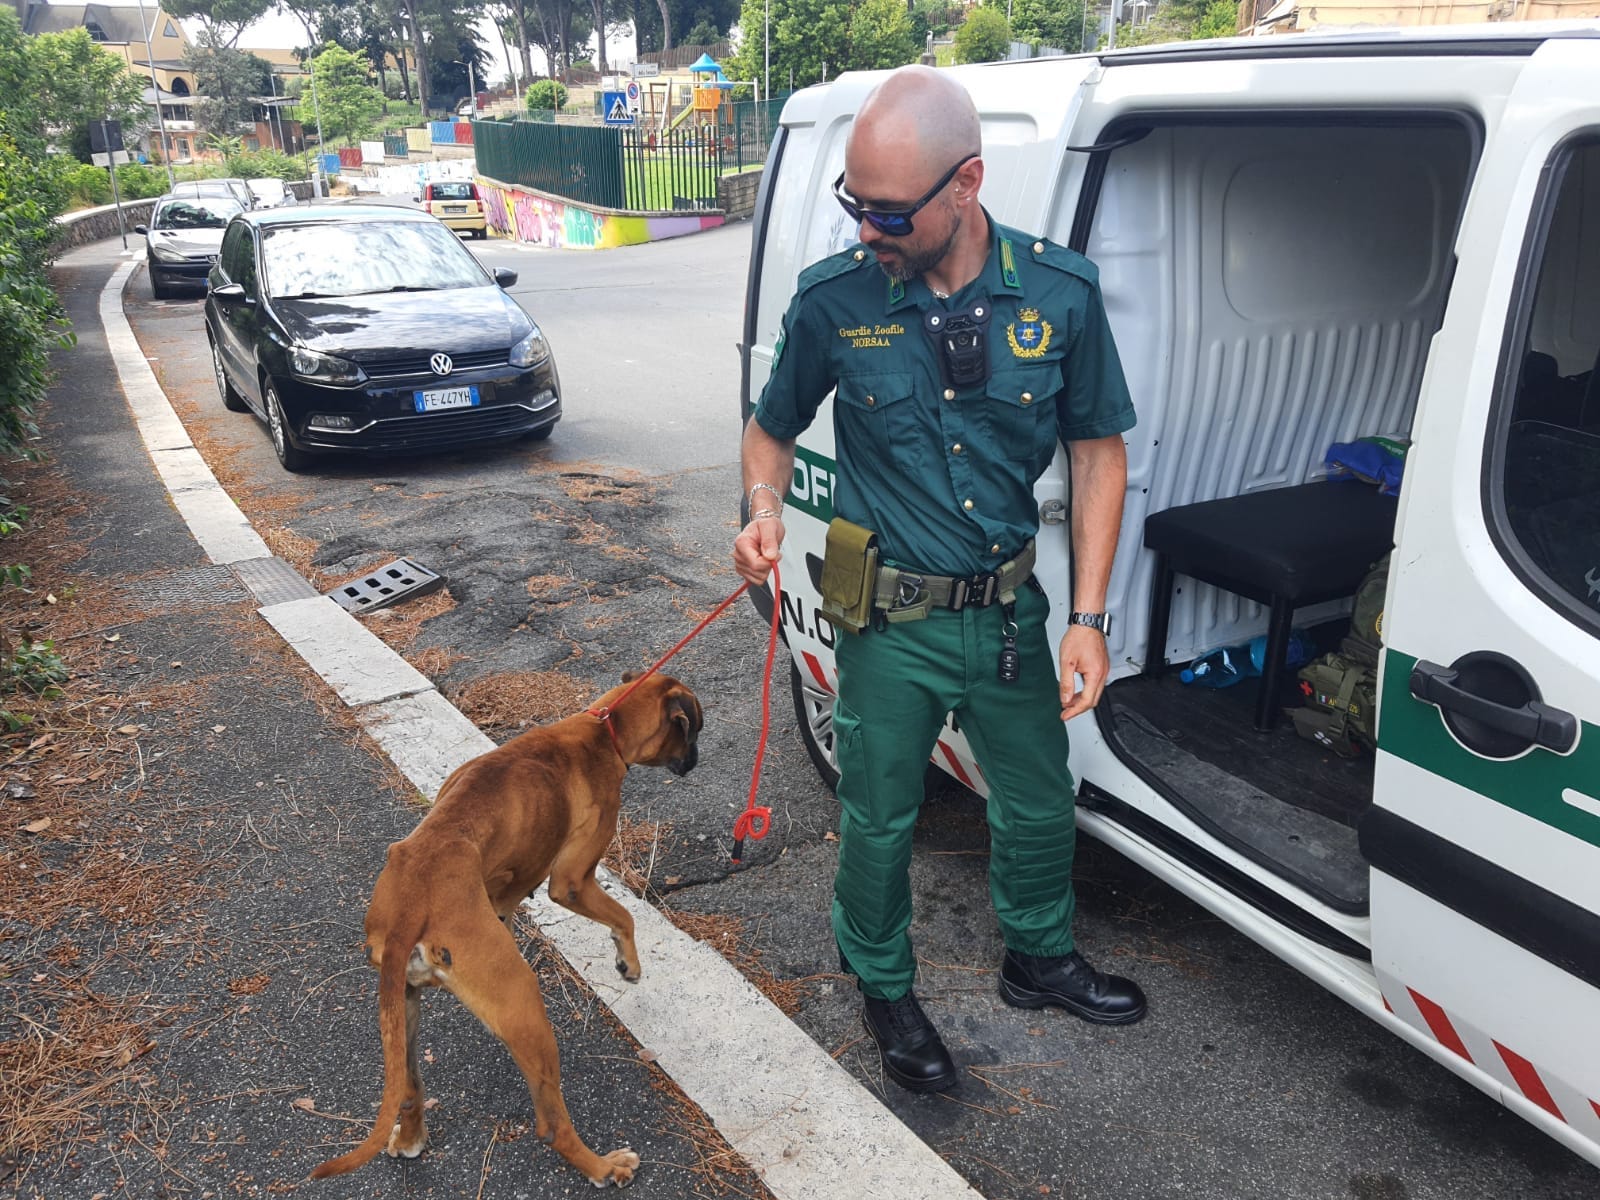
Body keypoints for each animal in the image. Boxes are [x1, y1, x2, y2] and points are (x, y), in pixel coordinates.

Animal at [312, 672, 700, 1190]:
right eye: (693, 731)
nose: (696, 759)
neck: (603, 729)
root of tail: (410, 904)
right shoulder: (572, 882)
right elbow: (625, 917)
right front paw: (628, 962)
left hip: (403, 1009)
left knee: (410, 1087)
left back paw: (410, 1137)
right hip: (523, 1004)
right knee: (551, 1125)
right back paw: (604, 1166)